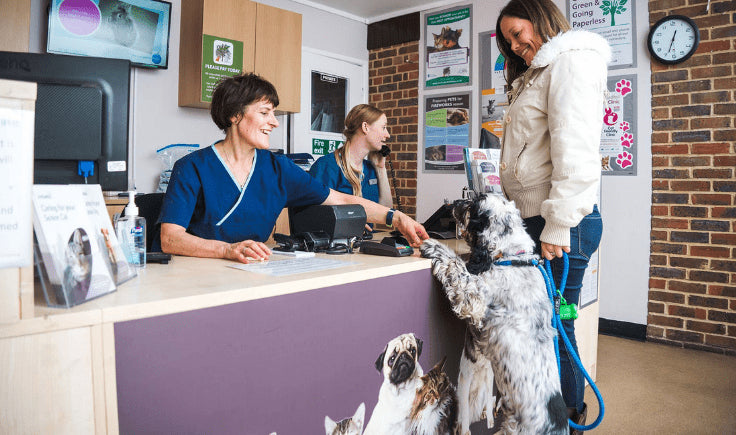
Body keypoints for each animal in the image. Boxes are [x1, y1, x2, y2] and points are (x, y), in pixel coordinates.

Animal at [420, 195, 568, 435]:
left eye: (472, 203)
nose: (454, 202)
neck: (512, 259)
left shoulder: (474, 298)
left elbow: (456, 265)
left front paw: (435, 246)